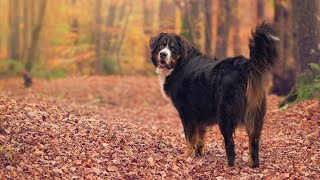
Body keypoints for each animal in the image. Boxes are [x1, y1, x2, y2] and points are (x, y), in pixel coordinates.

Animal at [150, 22, 278, 167]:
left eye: (172, 48)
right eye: (161, 45)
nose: (163, 54)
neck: (180, 64)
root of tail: (244, 65)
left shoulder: (186, 112)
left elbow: (190, 137)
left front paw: (187, 156)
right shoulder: (199, 113)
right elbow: (200, 136)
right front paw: (198, 154)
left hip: (225, 115)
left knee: (230, 143)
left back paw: (229, 165)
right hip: (255, 115)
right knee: (254, 142)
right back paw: (253, 164)